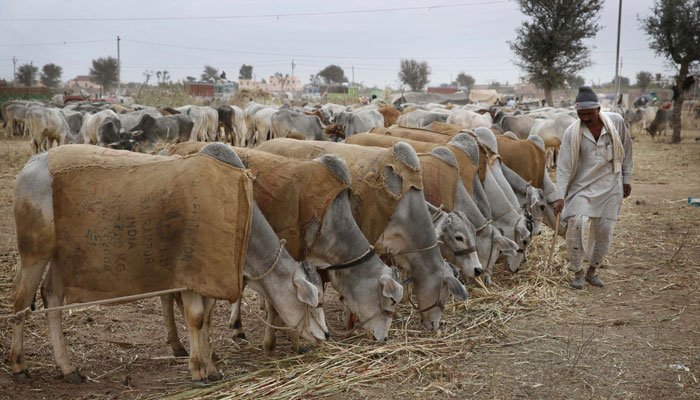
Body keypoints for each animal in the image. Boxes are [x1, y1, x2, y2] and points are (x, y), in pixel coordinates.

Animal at [8, 143, 326, 382]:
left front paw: (211, 366)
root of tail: (32, 163)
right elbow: (196, 318)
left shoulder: (208, 278)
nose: (325, 334)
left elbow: (206, 319)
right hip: (35, 252)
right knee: (21, 300)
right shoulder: (192, 275)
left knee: (52, 296)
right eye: (311, 301)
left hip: (62, 256)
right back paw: (19, 365)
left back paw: (67, 367)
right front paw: (199, 370)